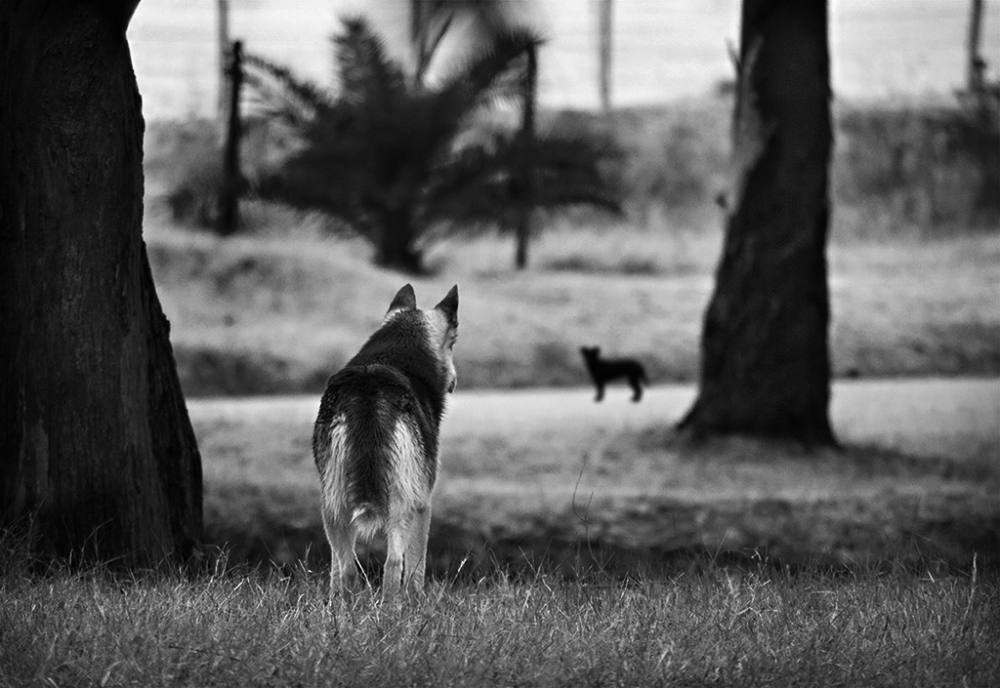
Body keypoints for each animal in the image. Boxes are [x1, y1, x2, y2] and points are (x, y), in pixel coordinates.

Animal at [312, 284, 460, 596]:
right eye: (453, 343)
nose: (454, 381)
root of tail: (370, 389)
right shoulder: (424, 504)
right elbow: (416, 570)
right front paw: (418, 602)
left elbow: (335, 572)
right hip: (401, 504)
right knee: (392, 564)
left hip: (333, 505)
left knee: (346, 568)